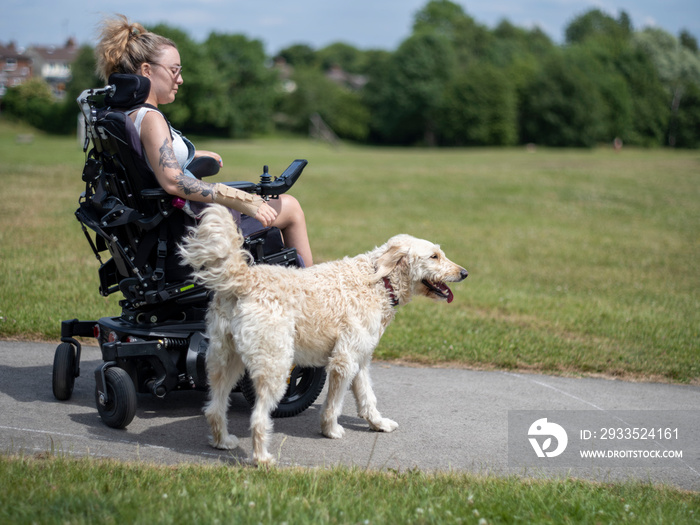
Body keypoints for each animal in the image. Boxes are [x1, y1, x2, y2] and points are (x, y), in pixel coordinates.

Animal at [178, 203, 468, 464]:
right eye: (434, 256)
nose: (465, 273)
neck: (378, 281)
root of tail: (244, 278)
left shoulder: (360, 357)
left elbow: (367, 396)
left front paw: (378, 424)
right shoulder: (343, 360)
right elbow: (334, 403)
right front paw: (330, 429)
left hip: (223, 360)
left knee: (214, 408)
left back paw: (222, 442)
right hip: (275, 365)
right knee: (258, 418)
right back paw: (262, 458)